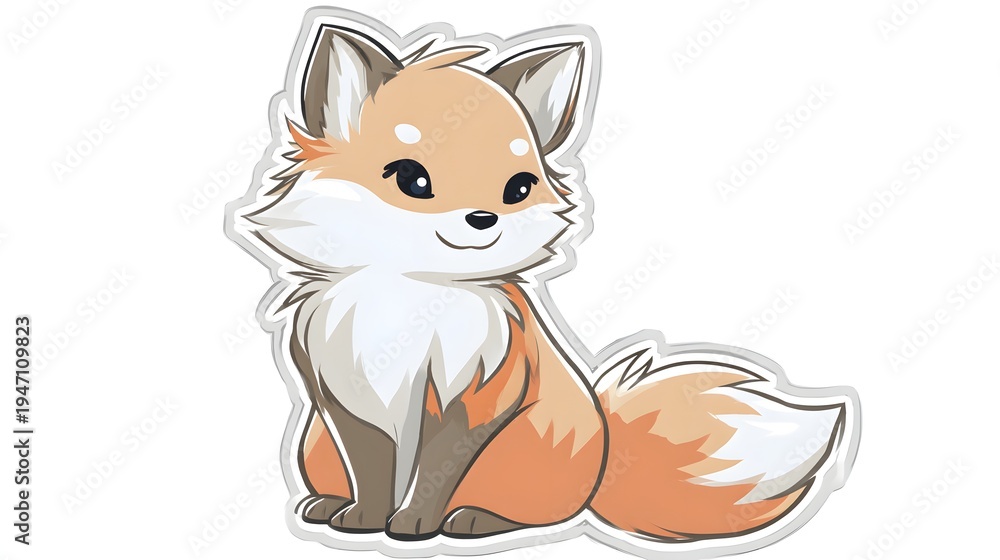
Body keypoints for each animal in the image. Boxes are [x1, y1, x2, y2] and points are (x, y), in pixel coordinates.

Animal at [226, 9, 860, 557]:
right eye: (412, 178)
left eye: (519, 187)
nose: (485, 219)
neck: (410, 292)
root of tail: (603, 468)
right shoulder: (345, 395)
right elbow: (373, 466)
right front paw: (363, 520)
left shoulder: (472, 397)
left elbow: (433, 471)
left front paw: (413, 525)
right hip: (315, 447)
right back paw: (326, 505)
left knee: (531, 515)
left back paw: (473, 520)